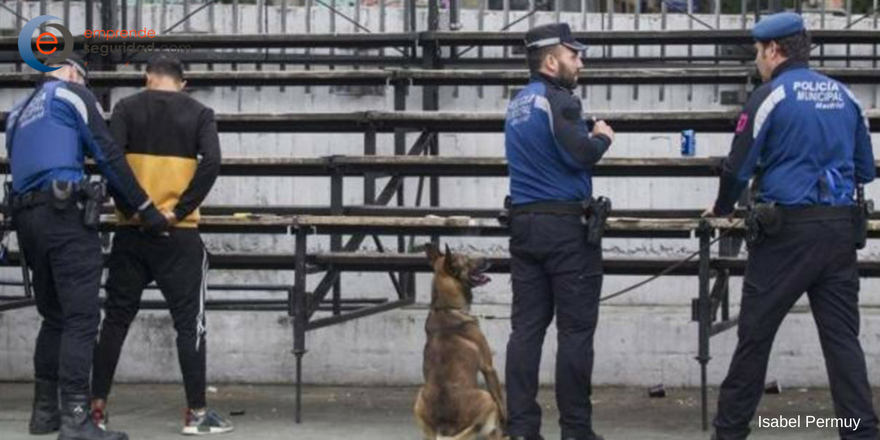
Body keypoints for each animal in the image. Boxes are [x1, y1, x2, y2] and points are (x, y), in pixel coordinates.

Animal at [412, 242, 502, 438]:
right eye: (467, 259)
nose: (488, 259)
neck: (446, 308)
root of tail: (444, 429)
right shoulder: (489, 368)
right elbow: (502, 401)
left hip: (418, 397)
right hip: (486, 397)